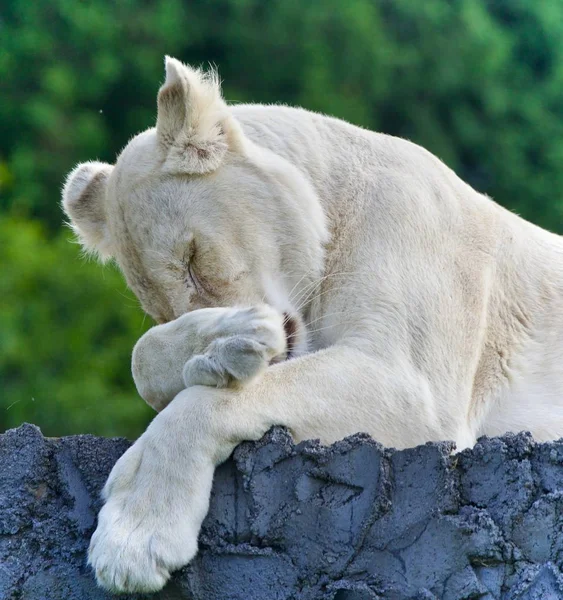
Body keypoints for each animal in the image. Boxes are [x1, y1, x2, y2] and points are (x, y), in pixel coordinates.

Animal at [60, 57, 563, 596]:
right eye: (156, 306)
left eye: (193, 260)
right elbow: (143, 356)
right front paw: (222, 346)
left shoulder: (418, 387)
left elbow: (202, 405)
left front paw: (132, 541)